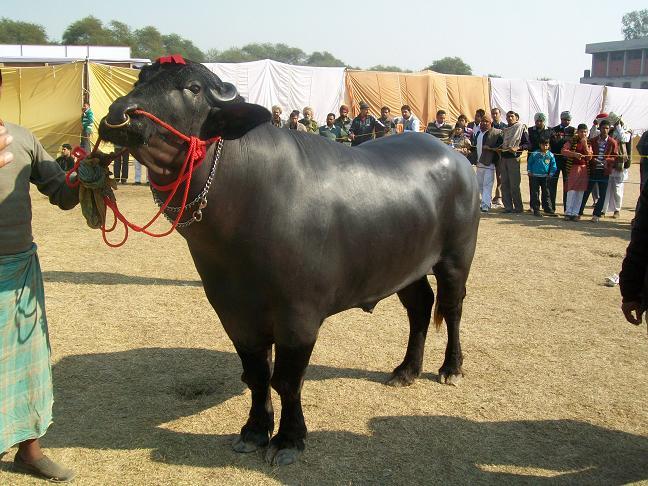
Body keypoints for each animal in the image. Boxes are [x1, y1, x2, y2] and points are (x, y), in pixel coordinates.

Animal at [99, 58, 480, 466]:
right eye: (140, 79)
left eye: (193, 88)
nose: (119, 115)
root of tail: (457, 158)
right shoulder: (234, 314)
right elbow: (256, 376)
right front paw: (253, 431)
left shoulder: (299, 317)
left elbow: (286, 380)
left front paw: (289, 439)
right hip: (406, 267)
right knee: (420, 307)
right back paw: (407, 369)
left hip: (456, 258)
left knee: (452, 308)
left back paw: (450, 368)